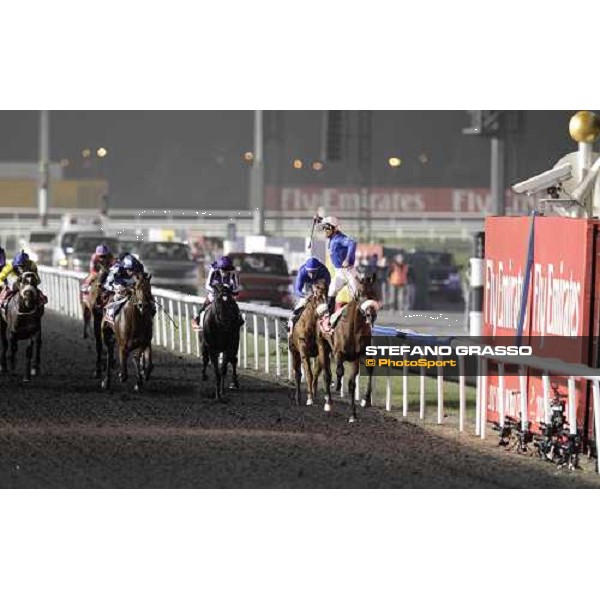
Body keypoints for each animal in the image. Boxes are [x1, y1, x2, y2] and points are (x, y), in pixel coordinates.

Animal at [288, 278, 330, 410]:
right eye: (316, 296)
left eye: (326, 295)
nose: (326, 315)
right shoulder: (303, 347)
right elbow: (308, 373)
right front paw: (309, 399)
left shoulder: (322, 347)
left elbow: (325, 375)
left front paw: (328, 402)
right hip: (294, 352)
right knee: (298, 374)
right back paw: (299, 398)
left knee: (317, 372)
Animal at [324, 274, 380, 422]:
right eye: (360, 293)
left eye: (374, 293)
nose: (371, 314)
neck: (353, 328)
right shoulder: (338, 352)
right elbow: (339, 371)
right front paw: (337, 385)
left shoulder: (359, 355)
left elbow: (354, 382)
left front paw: (363, 403)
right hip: (323, 348)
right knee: (327, 374)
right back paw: (328, 401)